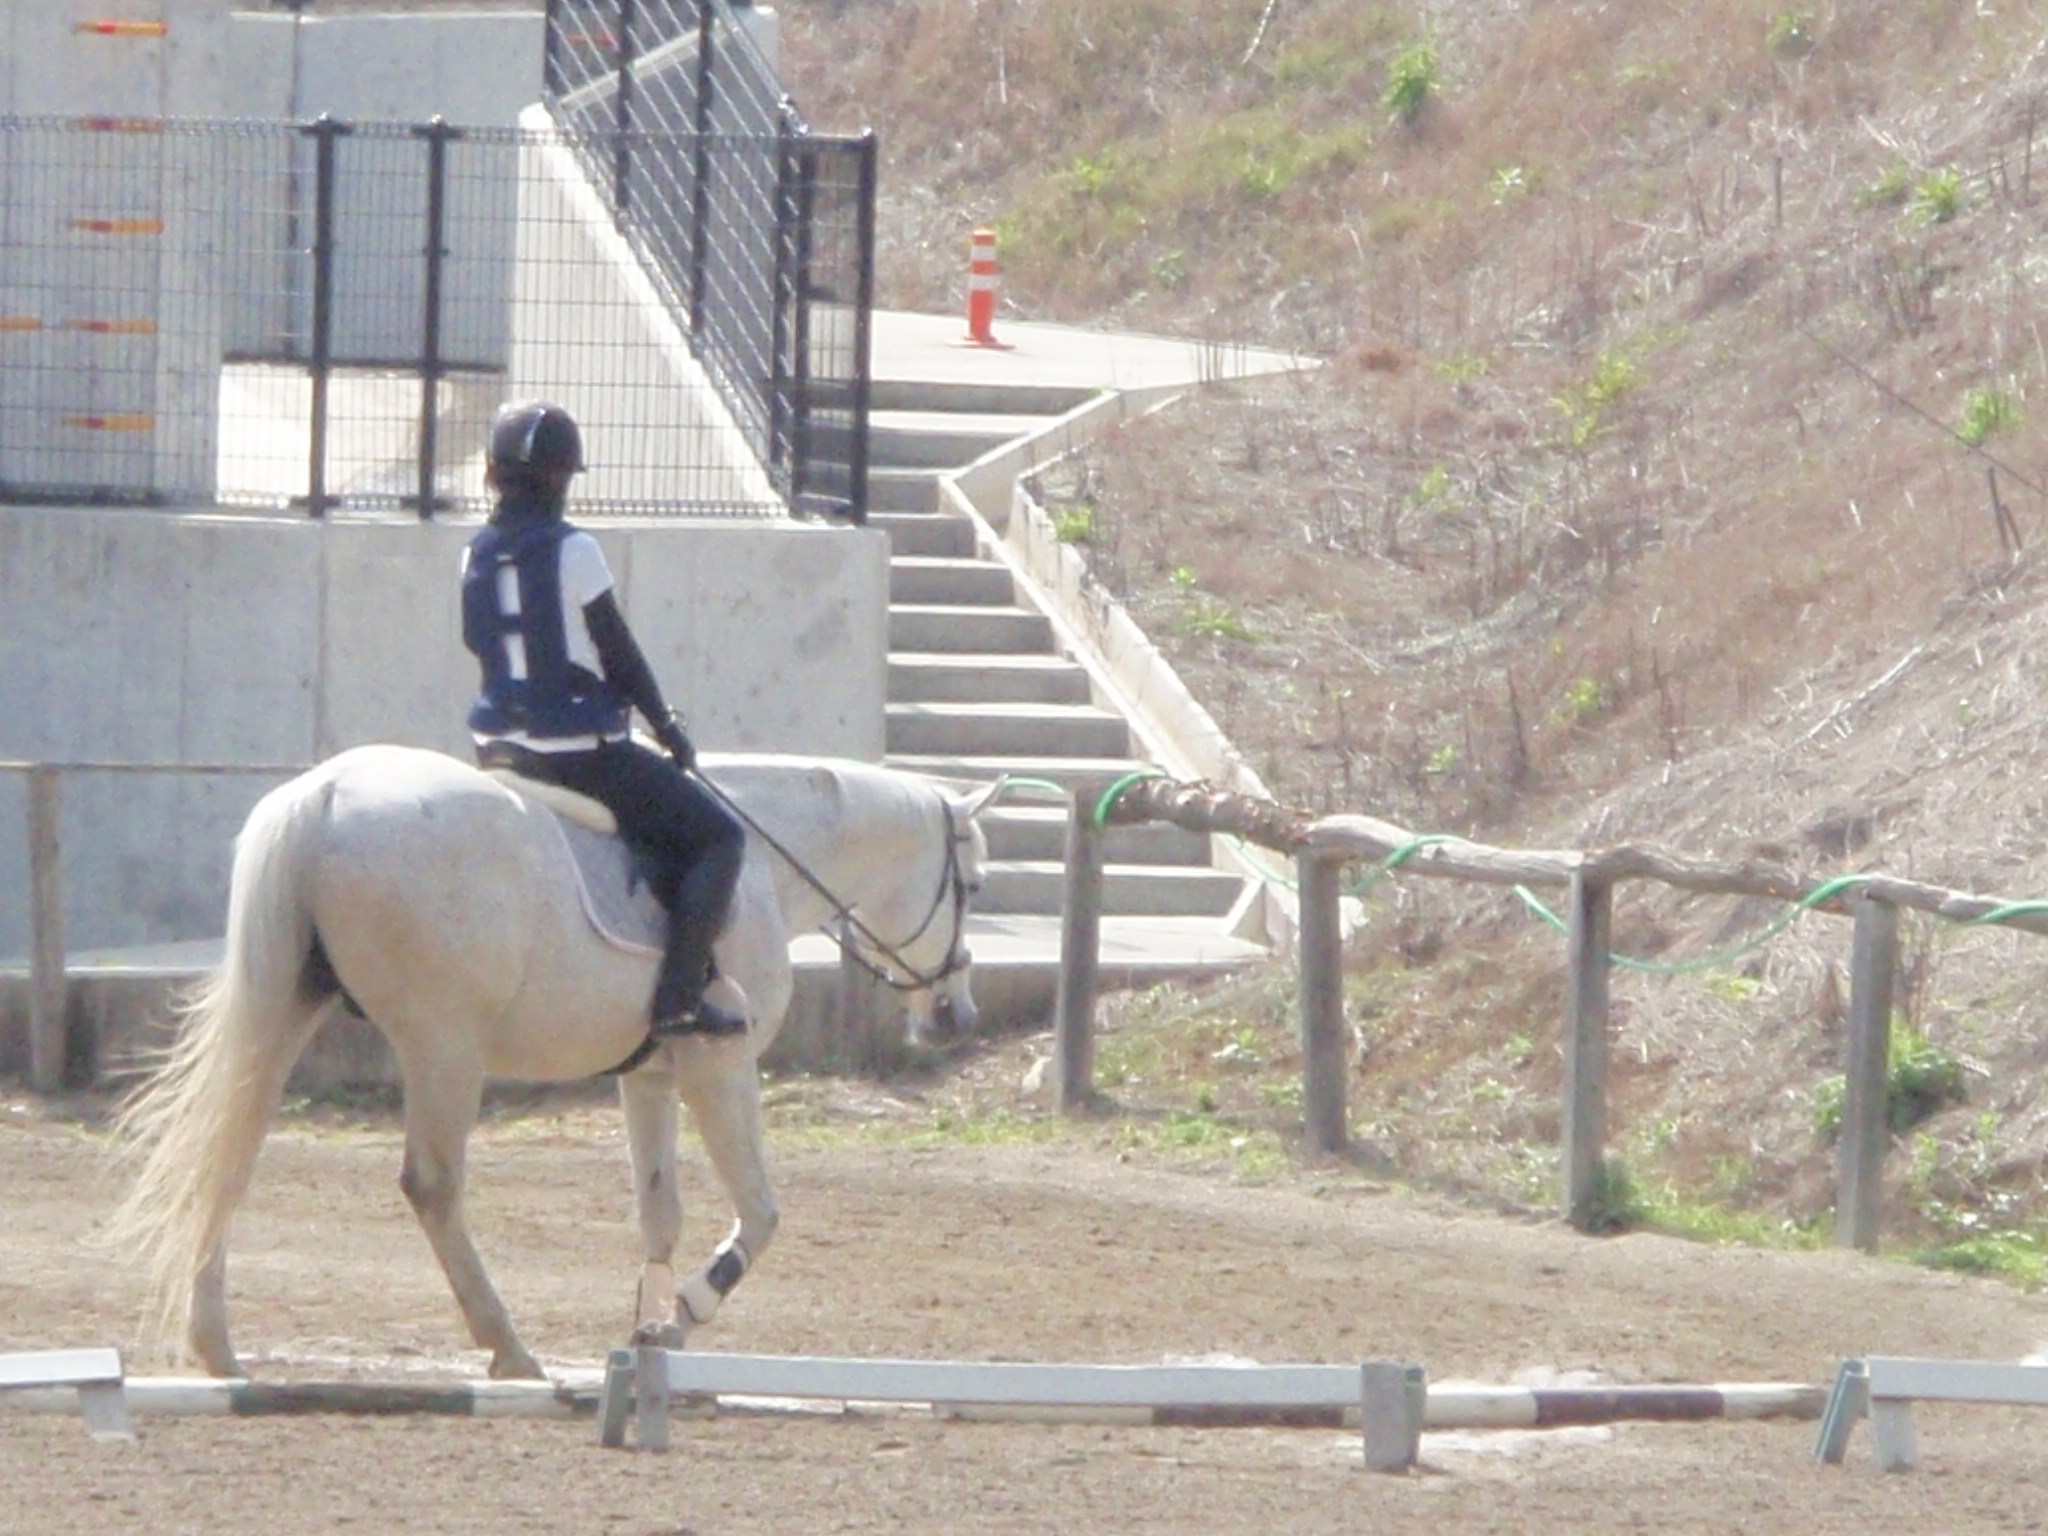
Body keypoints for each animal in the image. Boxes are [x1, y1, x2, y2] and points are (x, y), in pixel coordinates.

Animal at [103, 743, 1005, 1381]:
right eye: (975, 886)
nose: (956, 1017)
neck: (764, 864)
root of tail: (323, 795)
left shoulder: (650, 1073)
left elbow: (660, 1213)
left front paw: (650, 1338)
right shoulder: (719, 1063)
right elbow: (761, 1211)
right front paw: (683, 1314)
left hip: (289, 1009)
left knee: (227, 1154)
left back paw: (216, 1345)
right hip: (444, 1043)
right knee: (432, 1185)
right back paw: (507, 1347)